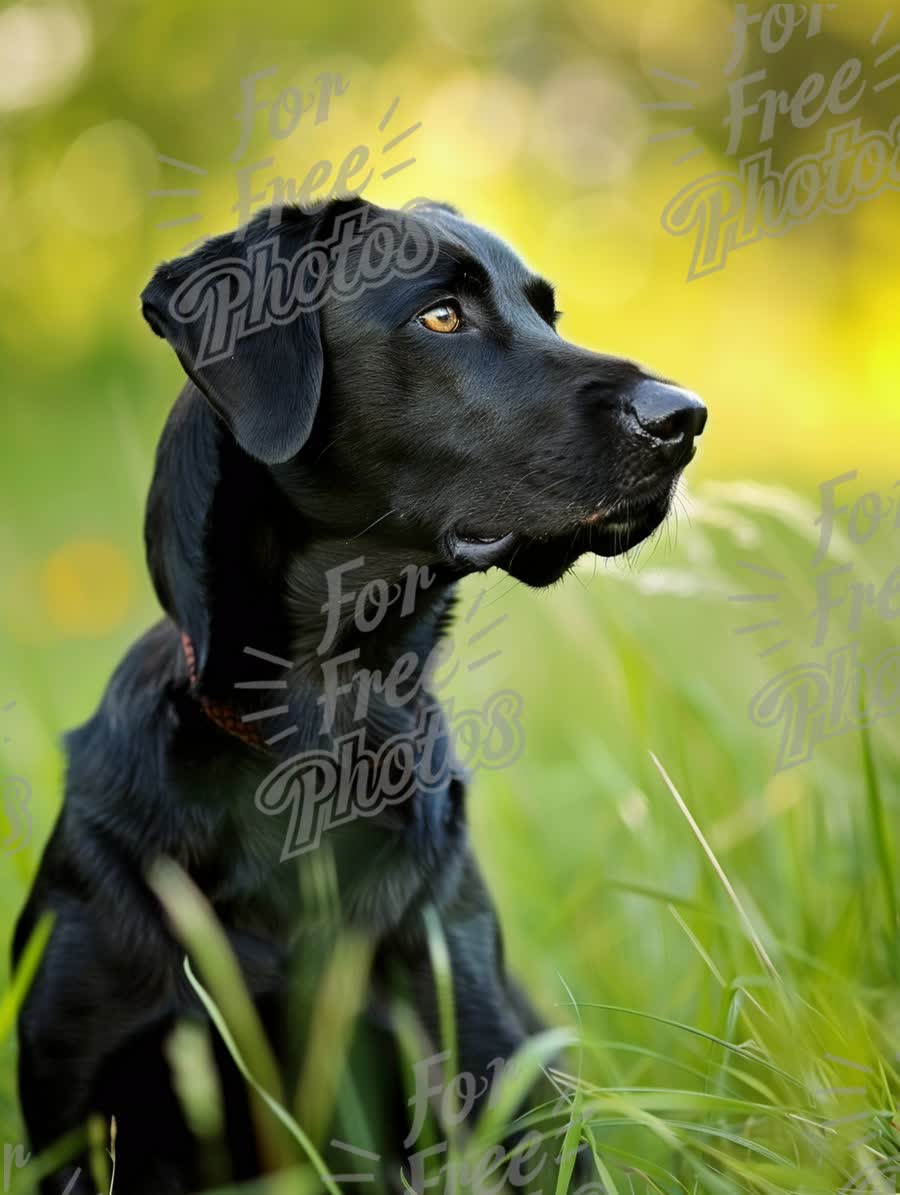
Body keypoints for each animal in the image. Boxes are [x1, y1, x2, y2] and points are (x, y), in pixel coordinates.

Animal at [12, 200, 702, 1190]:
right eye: (442, 315)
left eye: (548, 315)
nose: (684, 416)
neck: (324, 724)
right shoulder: (76, 1093)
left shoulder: (470, 1062)